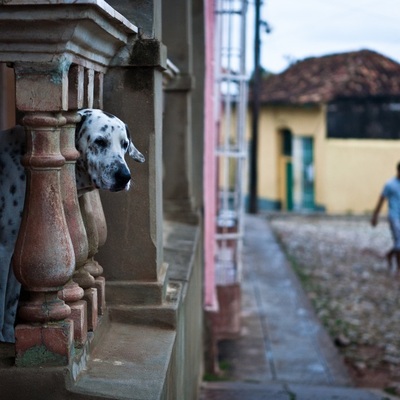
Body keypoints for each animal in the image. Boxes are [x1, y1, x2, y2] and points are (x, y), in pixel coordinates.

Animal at [0, 108, 144, 342]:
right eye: (100, 141)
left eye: (124, 144)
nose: (125, 176)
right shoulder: (3, 250)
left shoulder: (16, 253)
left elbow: (10, 305)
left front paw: (8, 338)